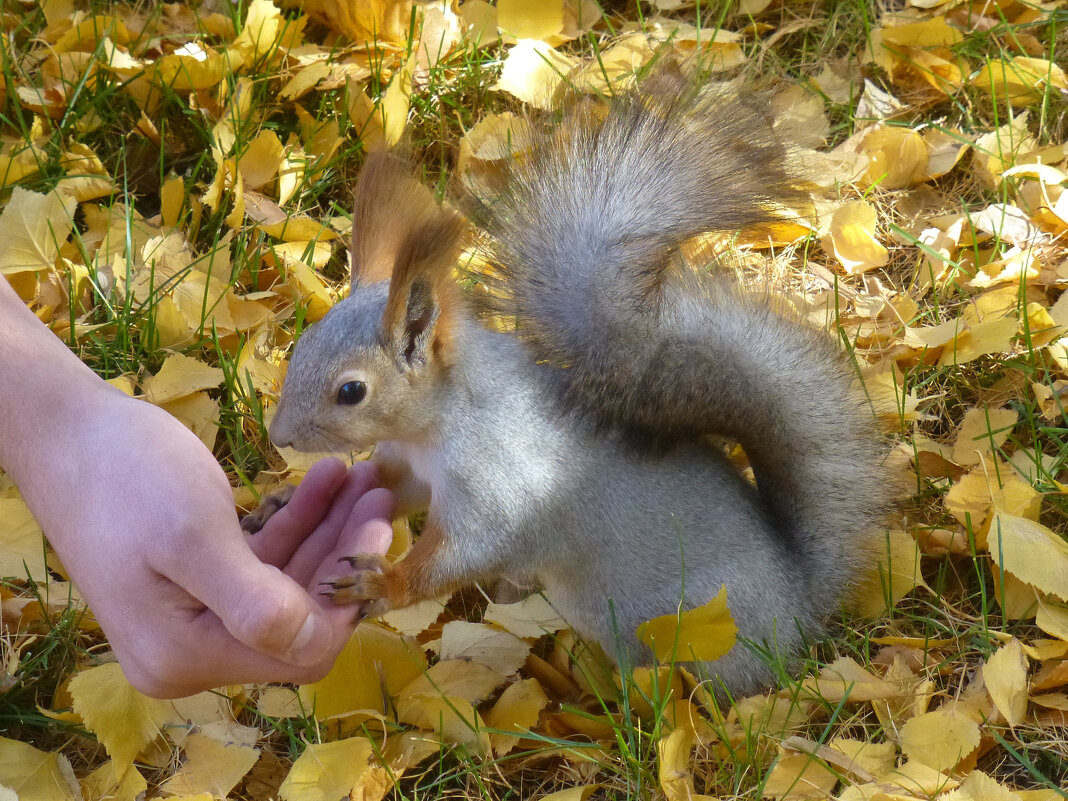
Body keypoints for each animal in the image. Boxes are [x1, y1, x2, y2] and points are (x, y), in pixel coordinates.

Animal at [256, 70, 884, 696]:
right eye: (302, 347)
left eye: (351, 391)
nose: (279, 436)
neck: (434, 427)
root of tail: (798, 608)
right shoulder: (413, 467)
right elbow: (388, 486)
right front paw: (301, 495)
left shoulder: (501, 481)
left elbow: (468, 551)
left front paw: (382, 584)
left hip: (684, 632)